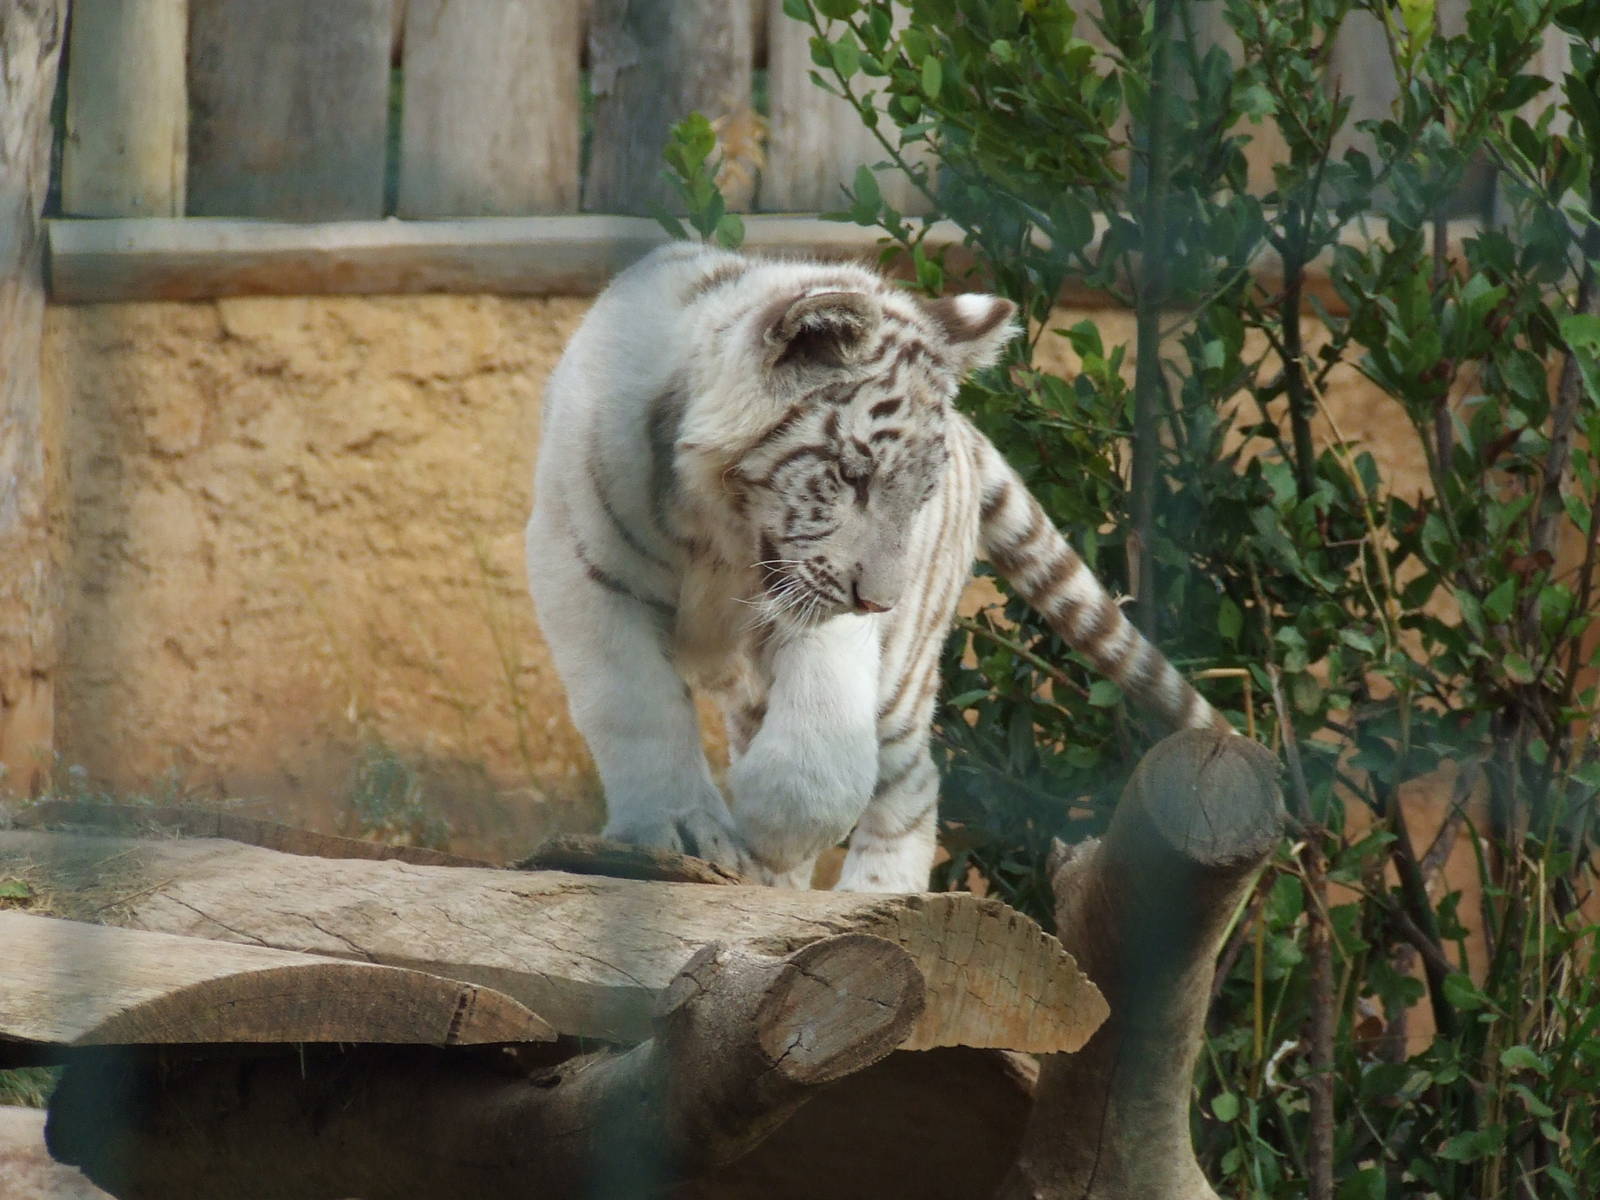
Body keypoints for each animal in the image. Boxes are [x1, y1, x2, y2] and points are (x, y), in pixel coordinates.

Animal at [525, 241, 1230, 892]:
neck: (717, 535)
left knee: (913, 780)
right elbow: (637, 710)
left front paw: (770, 826)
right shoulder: (587, 571)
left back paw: (876, 892)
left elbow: (825, 746)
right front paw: (681, 829)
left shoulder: (819, 606)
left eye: (919, 493)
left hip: (904, 674)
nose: (880, 602)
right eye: (852, 475)